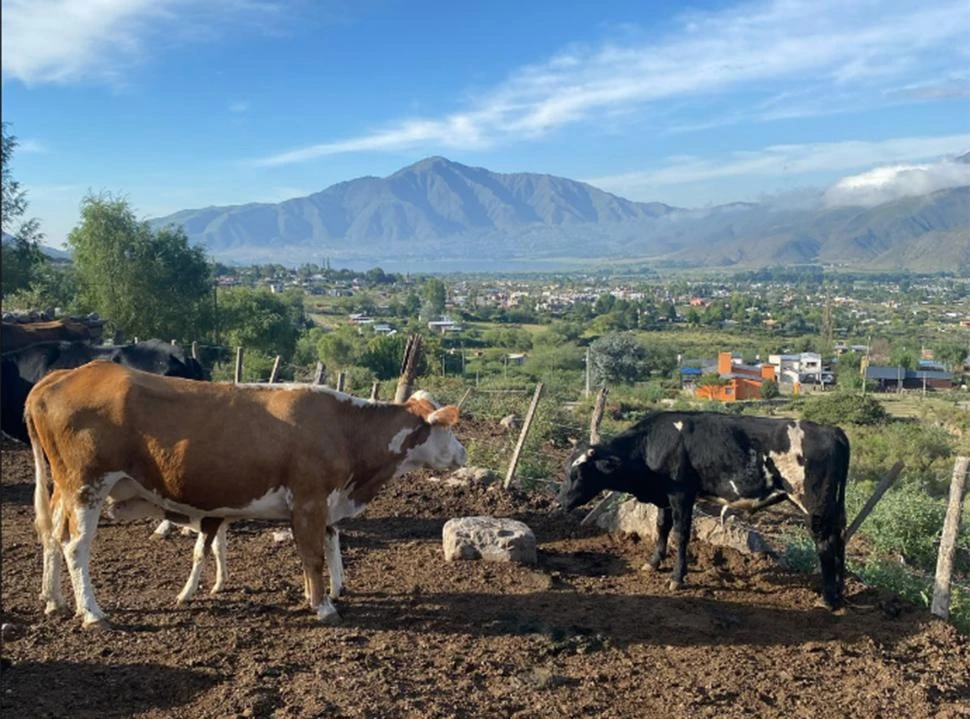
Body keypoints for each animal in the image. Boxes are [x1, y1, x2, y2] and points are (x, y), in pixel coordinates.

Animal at [26, 362, 466, 628]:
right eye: (446, 428)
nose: (463, 453)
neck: (344, 429)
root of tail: (65, 374)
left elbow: (312, 554)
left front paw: (311, 596)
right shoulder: (309, 501)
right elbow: (313, 556)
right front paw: (323, 606)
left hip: (63, 489)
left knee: (52, 537)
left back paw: (53, 599)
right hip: (87, 486)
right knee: (75, 547)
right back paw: (92, 612)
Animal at [560, 414, 848, 612]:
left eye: (579, 473)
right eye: (566, 468)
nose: (559, 502)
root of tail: (831, 430)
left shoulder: (682, 495)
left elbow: (681, 534)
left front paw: (677, 578)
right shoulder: (665, 498)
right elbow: (661, 526)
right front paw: (653, 563)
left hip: (813, 504)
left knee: (825, 542)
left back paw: (827, 599)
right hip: (834, 506)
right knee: (840, 538)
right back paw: (840, 591)